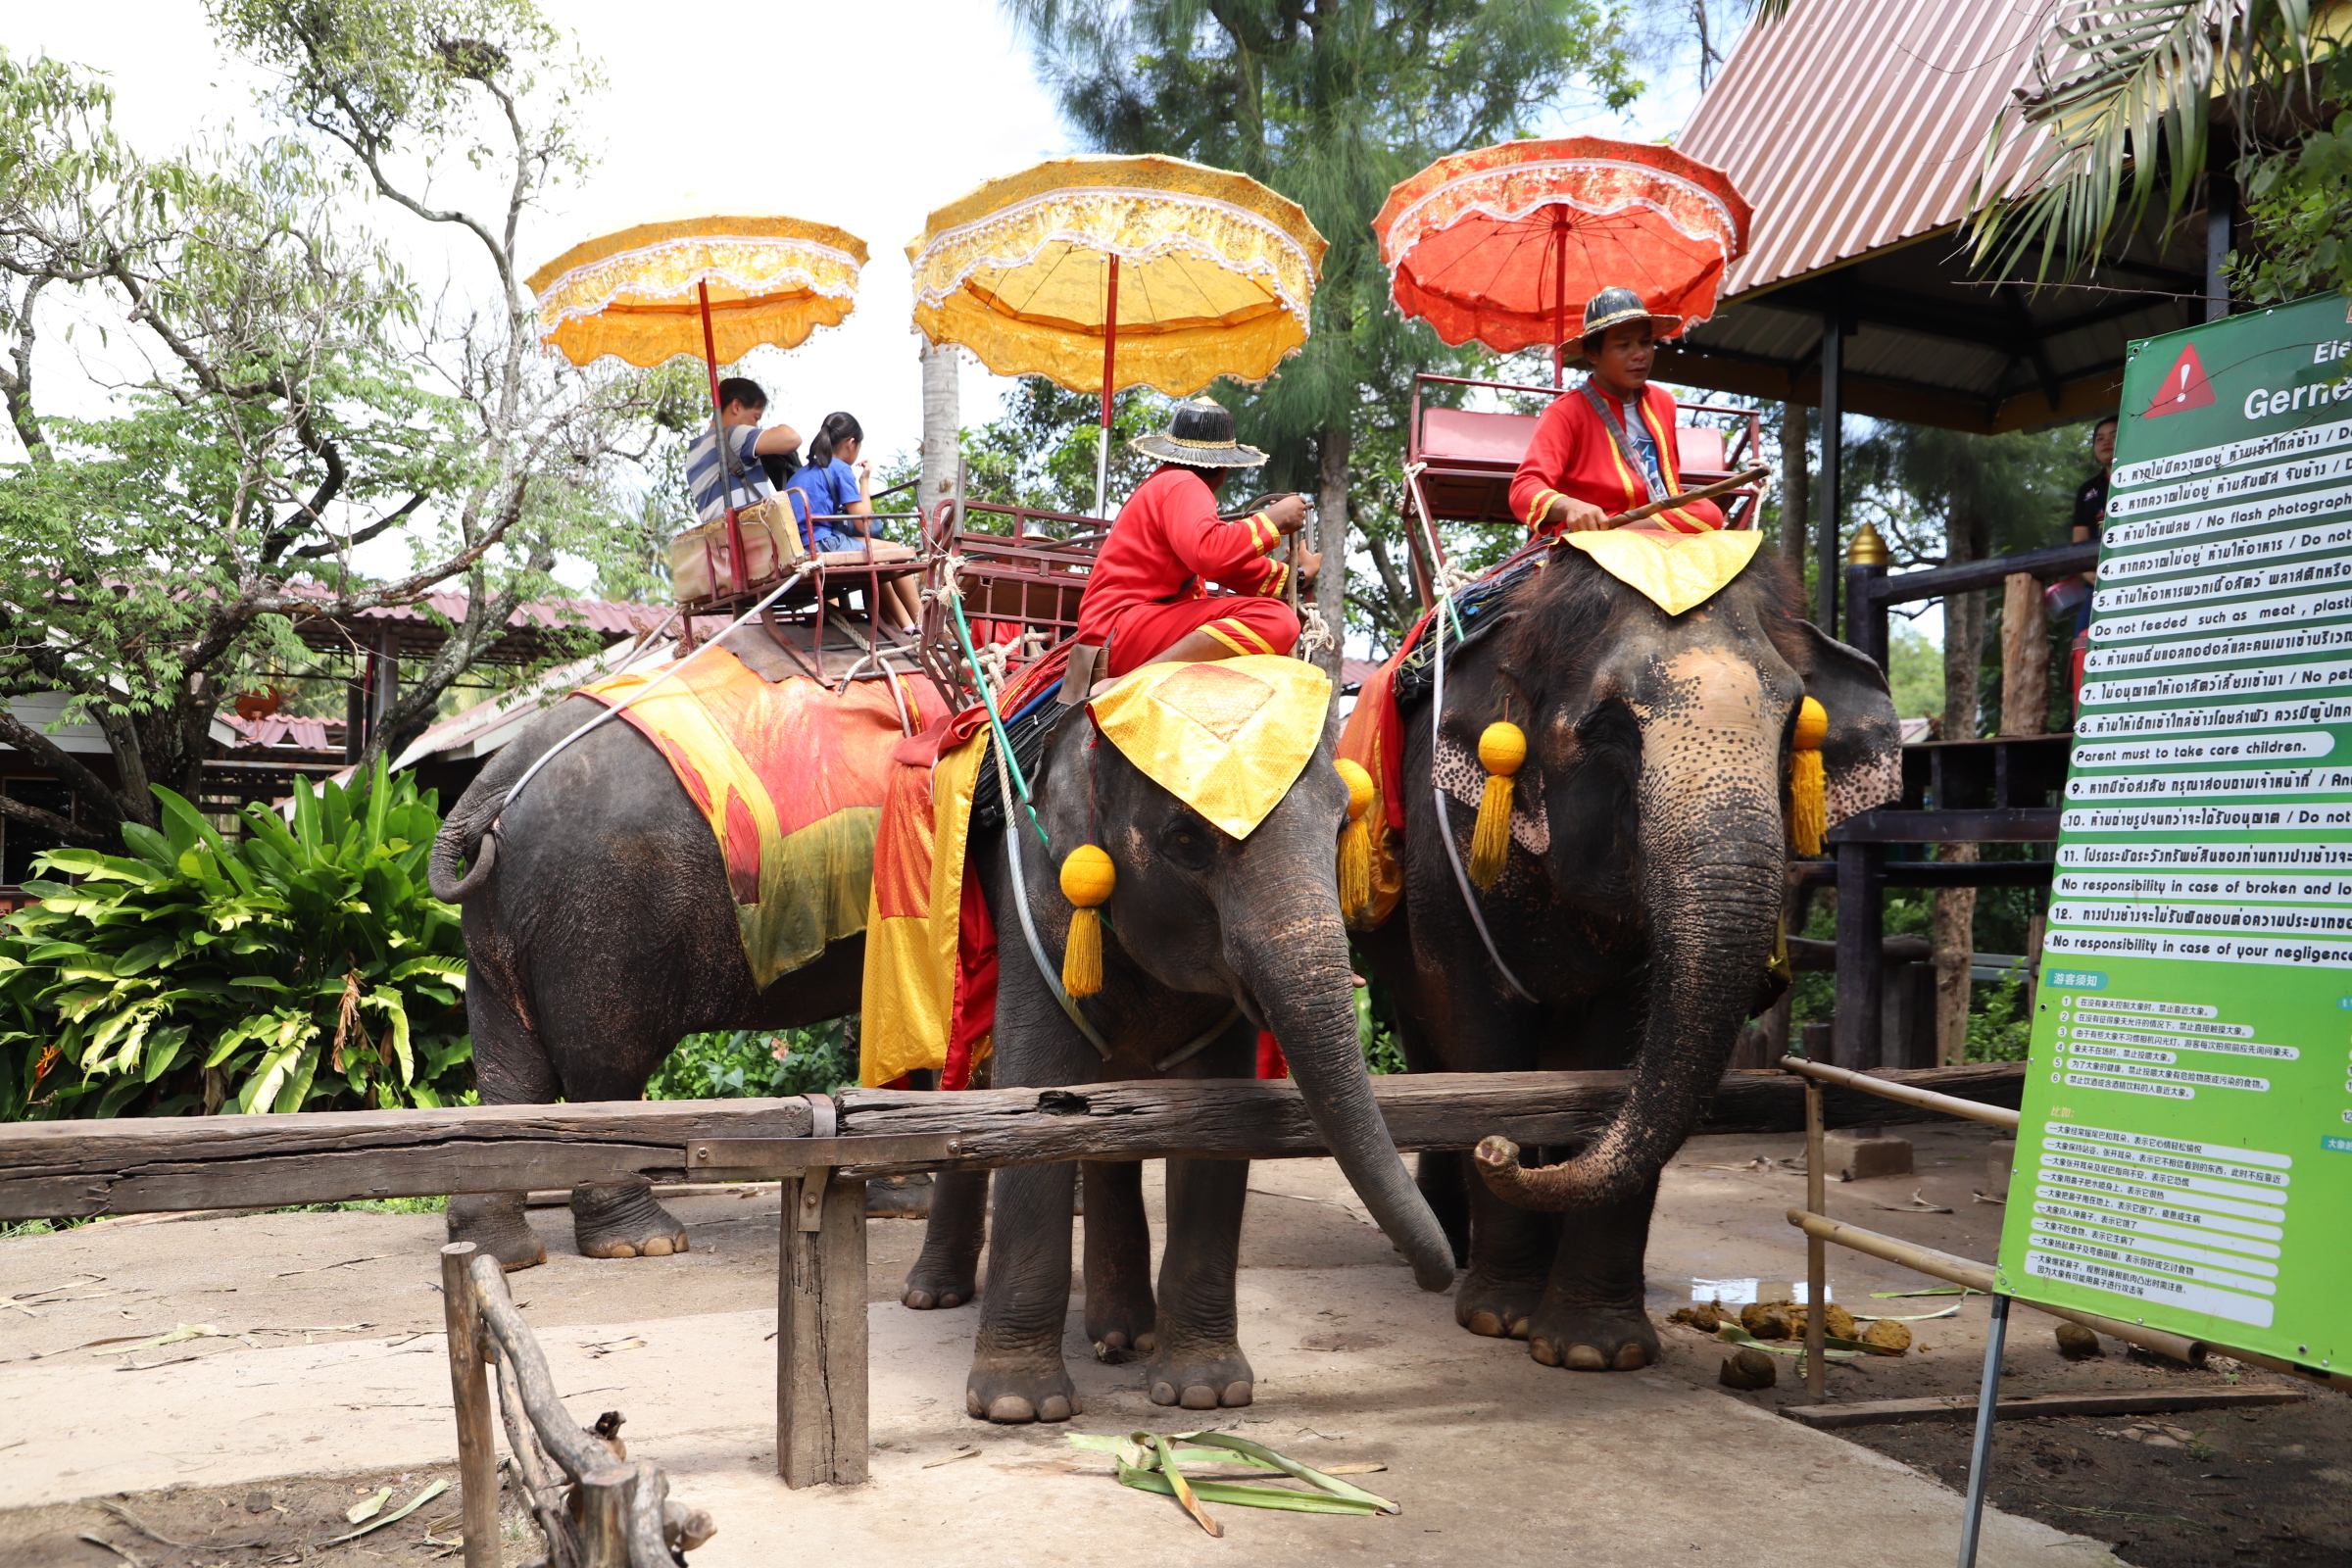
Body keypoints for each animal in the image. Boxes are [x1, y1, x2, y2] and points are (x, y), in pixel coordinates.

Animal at [894, 662, 1448, 1419]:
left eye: (1342, 825)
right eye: (1186, 841)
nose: (1435, 1279)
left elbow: (1215, 1120)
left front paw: (1207, 1395)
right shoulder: (1038, 901)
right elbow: (1036, 1101)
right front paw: (1019, 1407)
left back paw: (1124, 1333)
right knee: (979, 1083)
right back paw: (933, 1298)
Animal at [1354, 550, 1900, 1372]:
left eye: (1793, 729)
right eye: (1610, 729)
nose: (1498, 1154)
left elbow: (1624, 1048)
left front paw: (1592, 1351)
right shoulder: (1444, 848)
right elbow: (1483, 1036)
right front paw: (1497, 1320)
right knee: (1430, 1038)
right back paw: (1448, 1251)